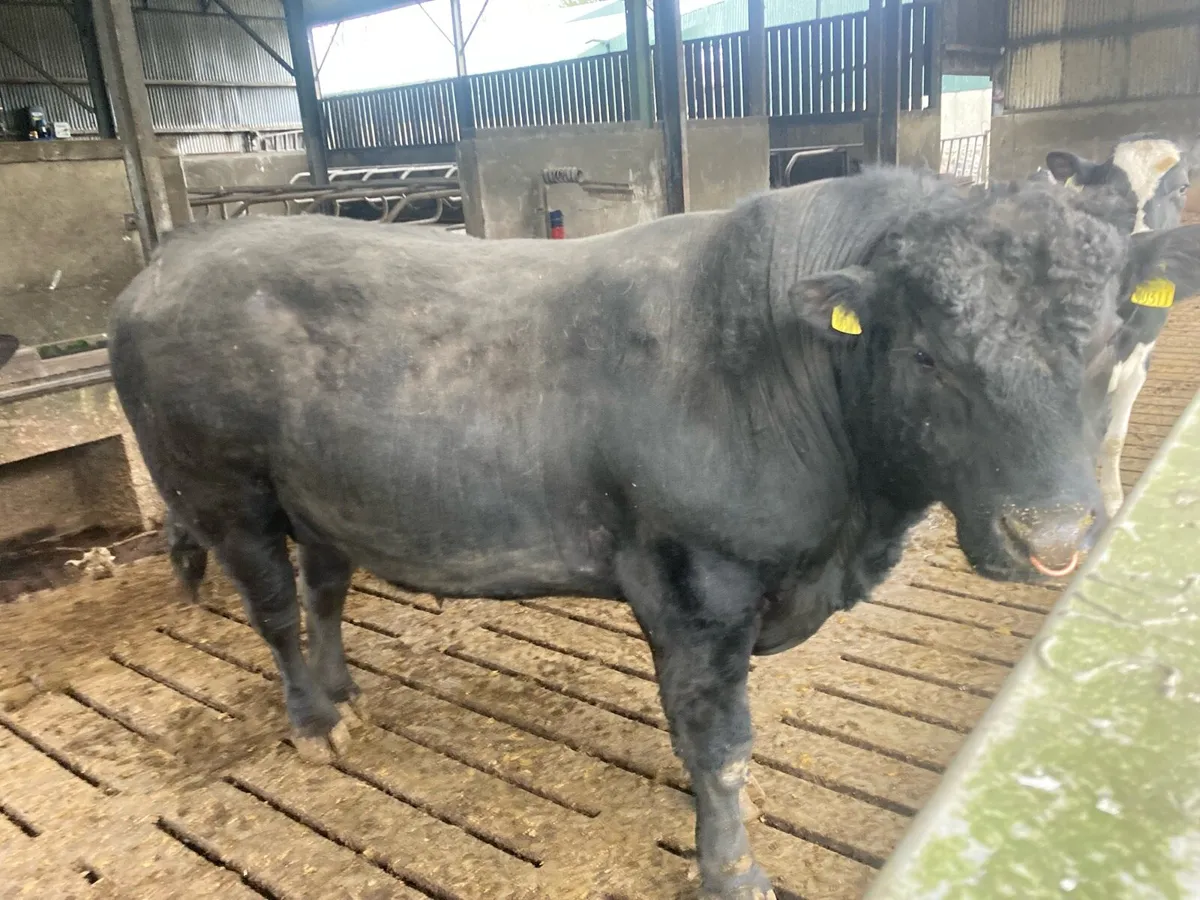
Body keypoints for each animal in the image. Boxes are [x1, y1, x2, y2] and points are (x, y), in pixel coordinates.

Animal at [1042, 133, 1195, 515]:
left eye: (1182, 186)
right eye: (1106, 189)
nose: (1136, 248)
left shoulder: (1140, 360)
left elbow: (1114, 438)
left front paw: (1113, 500)